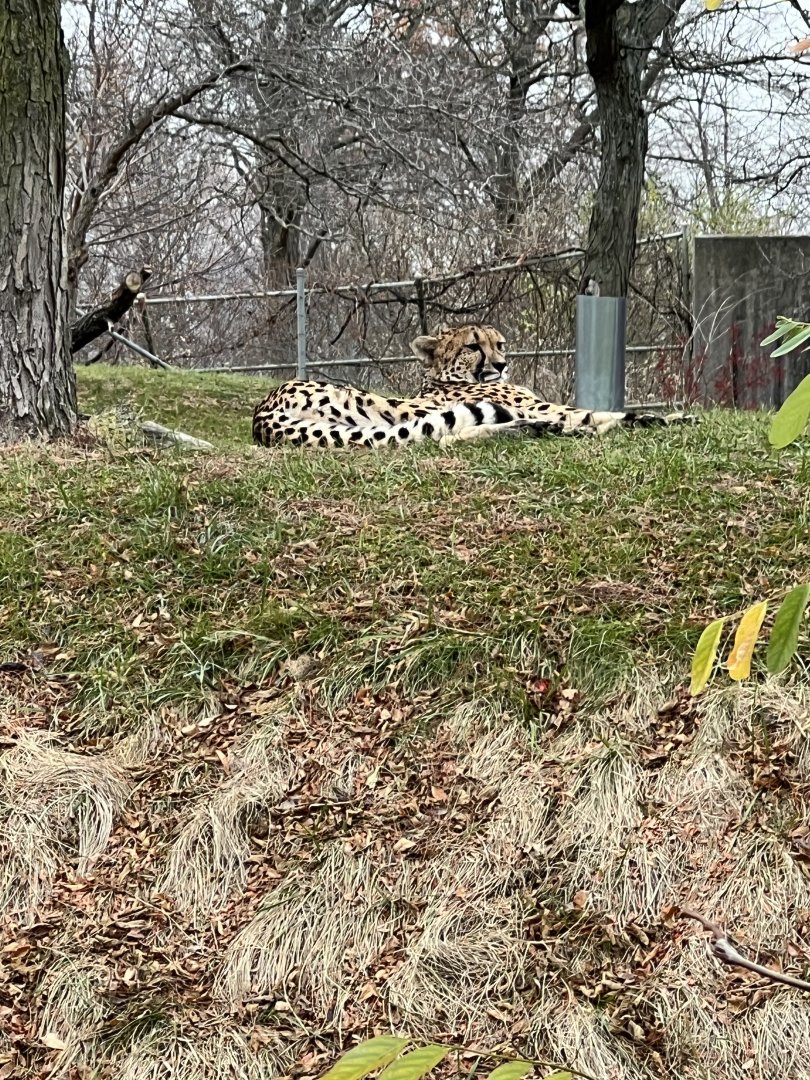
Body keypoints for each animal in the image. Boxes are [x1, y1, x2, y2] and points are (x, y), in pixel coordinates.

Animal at [252, 324, 692, 449]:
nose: (501, 364)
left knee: (445, 437)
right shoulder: (543, 403)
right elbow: (590, 411)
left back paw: (536, 429)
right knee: (442, 437)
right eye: (472, 346)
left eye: (500, 344)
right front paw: (663, 418)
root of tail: (262, 415)